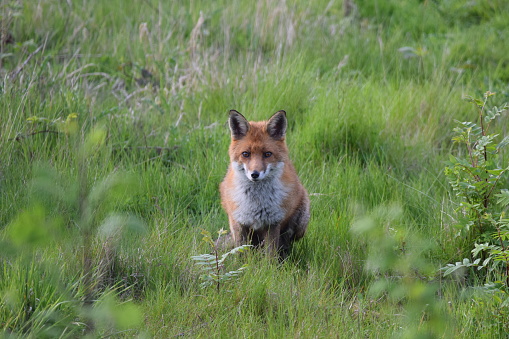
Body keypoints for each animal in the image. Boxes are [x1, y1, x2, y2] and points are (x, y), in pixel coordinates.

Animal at [219, 111, 310, 258]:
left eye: (267, 154)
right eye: (246, 154)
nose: (255, 174)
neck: (256, 203)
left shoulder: (272, 223)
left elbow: (270, 256)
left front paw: (271, 264)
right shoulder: (238, 222)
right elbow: (241, 254)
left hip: (301, 223)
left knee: (286, 242)